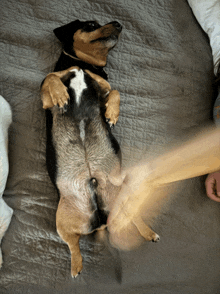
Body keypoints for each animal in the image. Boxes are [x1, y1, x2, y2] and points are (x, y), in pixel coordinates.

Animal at [40, 20, 159, 278]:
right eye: (90, 24)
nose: (118, 23)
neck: (84, 65)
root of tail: (101, 219)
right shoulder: (46, 97)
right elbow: (50, 78)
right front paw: (61, 94)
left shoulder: (104, 86)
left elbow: (115, 91)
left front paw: (111, 114)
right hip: (61, 223)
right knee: (74, 245)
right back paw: (76, 267)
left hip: (124, 200)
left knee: (134, 219)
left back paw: (149, 233)